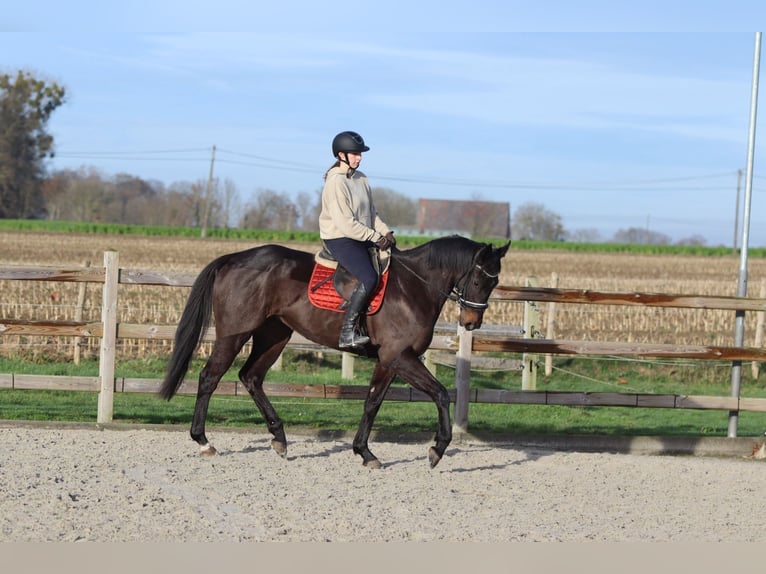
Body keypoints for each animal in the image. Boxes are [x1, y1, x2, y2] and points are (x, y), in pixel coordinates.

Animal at [159, 235, 510, 468]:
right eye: (478, 279)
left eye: (494, 283)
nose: (471, 322)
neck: (414, 288)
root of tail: (231, 259)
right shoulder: (399, 356)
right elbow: (440, 393)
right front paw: (437, 449)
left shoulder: (388, 361)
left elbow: (372, 403)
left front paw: (364, 452)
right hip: (234, 334)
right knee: (209, 378)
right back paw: (204, 442)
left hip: (274, 335)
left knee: (251, 377)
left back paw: (279, 438)